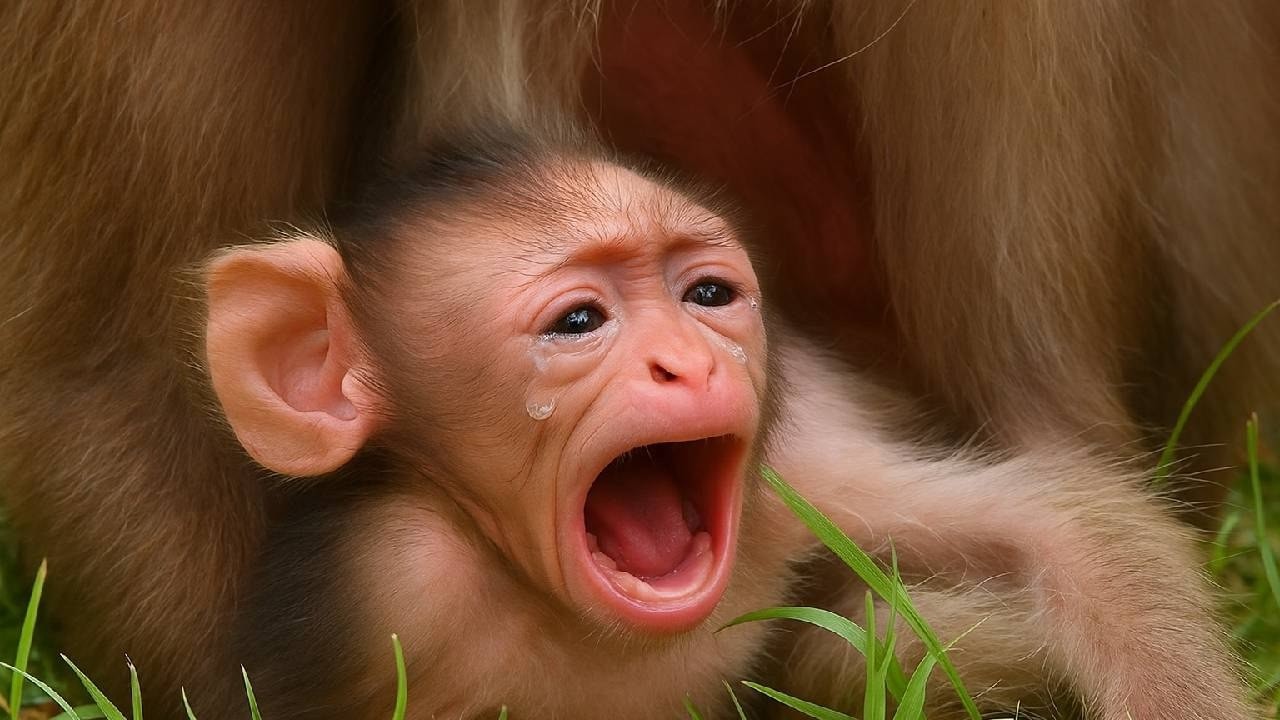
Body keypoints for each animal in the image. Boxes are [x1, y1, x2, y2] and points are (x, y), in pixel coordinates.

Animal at [199, 131, 1243, 719]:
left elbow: (1064, 526)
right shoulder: (388, 580)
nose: (692, 362)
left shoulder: (798, 476)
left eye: (707, 297)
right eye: (579, 321)